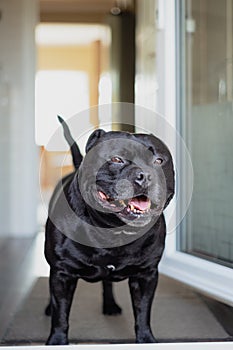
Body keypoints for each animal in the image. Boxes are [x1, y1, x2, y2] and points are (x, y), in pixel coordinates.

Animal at [44, 117, 175, 344]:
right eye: (116, 159)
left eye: (159, 161)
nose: (146, 175)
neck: (112, 231)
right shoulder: (62, 273)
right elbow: (61, 314)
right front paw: (57, 341)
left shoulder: (146, 275)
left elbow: (143, 312)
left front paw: (146, 339)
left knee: (107, 284)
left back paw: (110, 305)